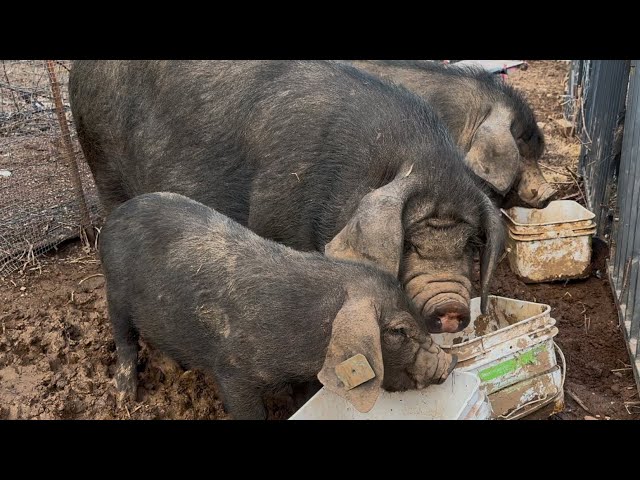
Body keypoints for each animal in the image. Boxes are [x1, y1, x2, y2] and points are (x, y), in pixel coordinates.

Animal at [99, 192, 457, 420]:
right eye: (398, 331)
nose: (450, 362)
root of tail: (114, 218)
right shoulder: (232, 371)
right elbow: (249, 411)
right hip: (115, 293)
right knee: (124, 339)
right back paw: (125, 394)